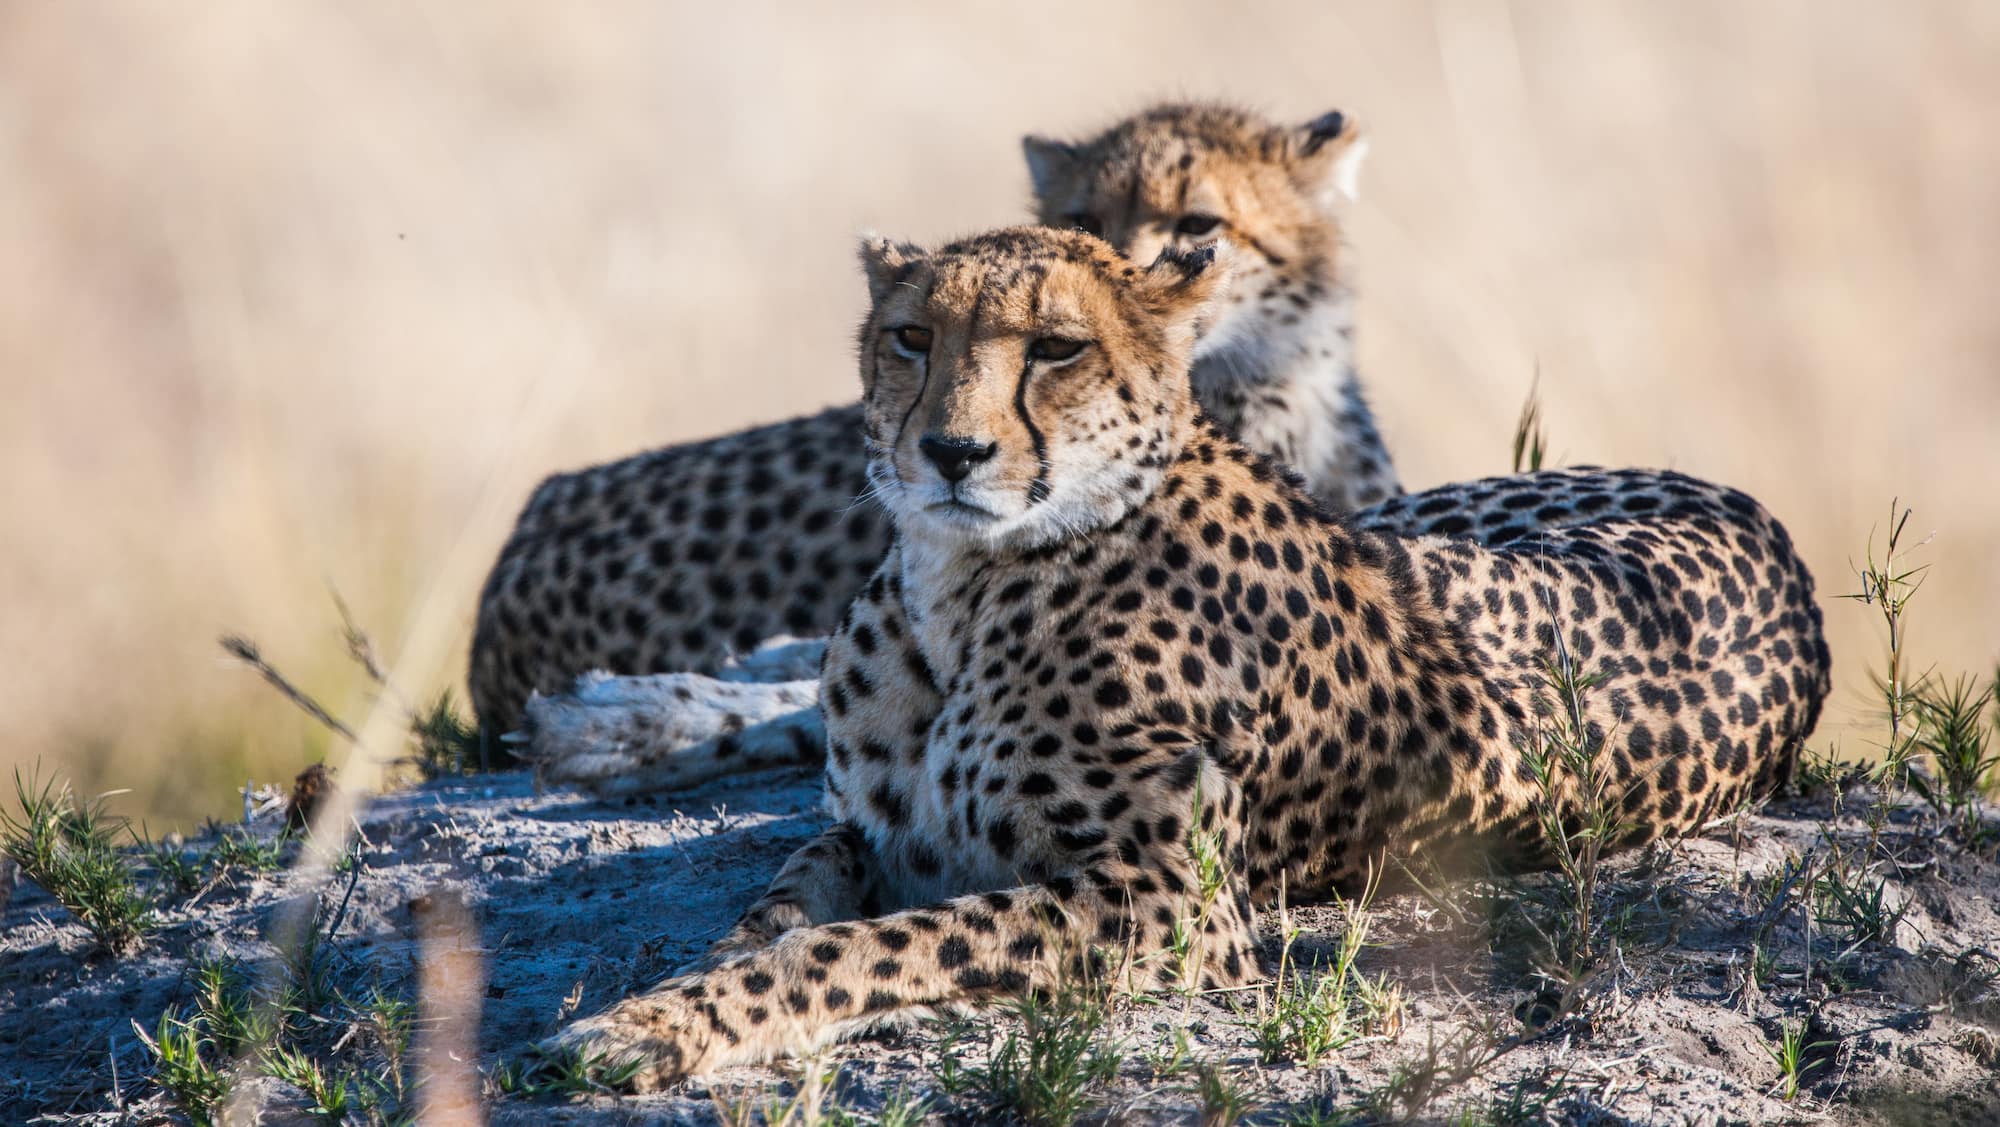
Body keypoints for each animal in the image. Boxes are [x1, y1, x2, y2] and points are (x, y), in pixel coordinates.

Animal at [543, 225, 1831, 1088]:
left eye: (1053, 348)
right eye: (911, 337)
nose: (949, 452)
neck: (960, 587)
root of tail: (1758, 521)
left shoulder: (1169, 902)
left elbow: (858, 944)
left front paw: (662, 1024)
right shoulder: (868, 829)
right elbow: (777, 907)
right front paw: (675, 991)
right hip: (1413, 523)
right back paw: (612, 718)